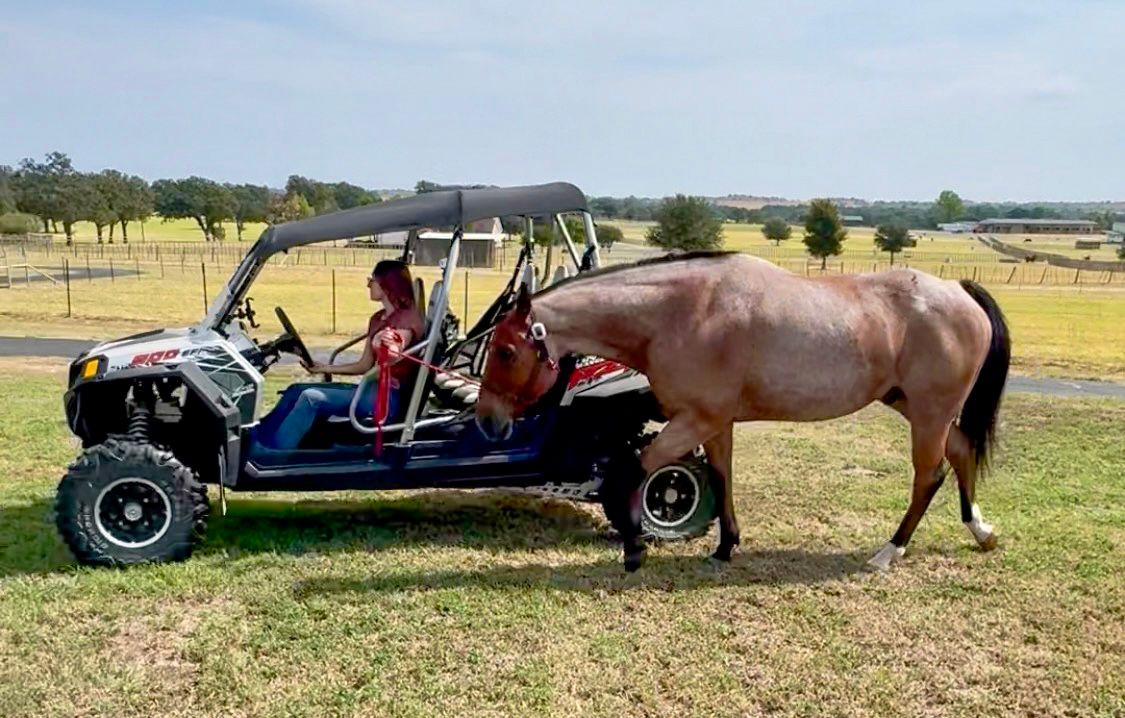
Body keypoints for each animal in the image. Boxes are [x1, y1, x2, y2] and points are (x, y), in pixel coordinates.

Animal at [476, 251, 1010, 572]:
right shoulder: (715, 423)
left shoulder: (695, 419)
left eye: (504, 351)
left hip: (929, 413)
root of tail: (960, 290)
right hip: (916, 407)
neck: (686, 311)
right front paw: (725, 546)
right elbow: (720, 477)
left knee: (929, 475)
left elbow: (627, 474)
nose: (485, 420)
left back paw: (889, 550)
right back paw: (980, 531)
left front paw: (633, 547)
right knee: (961, 452)